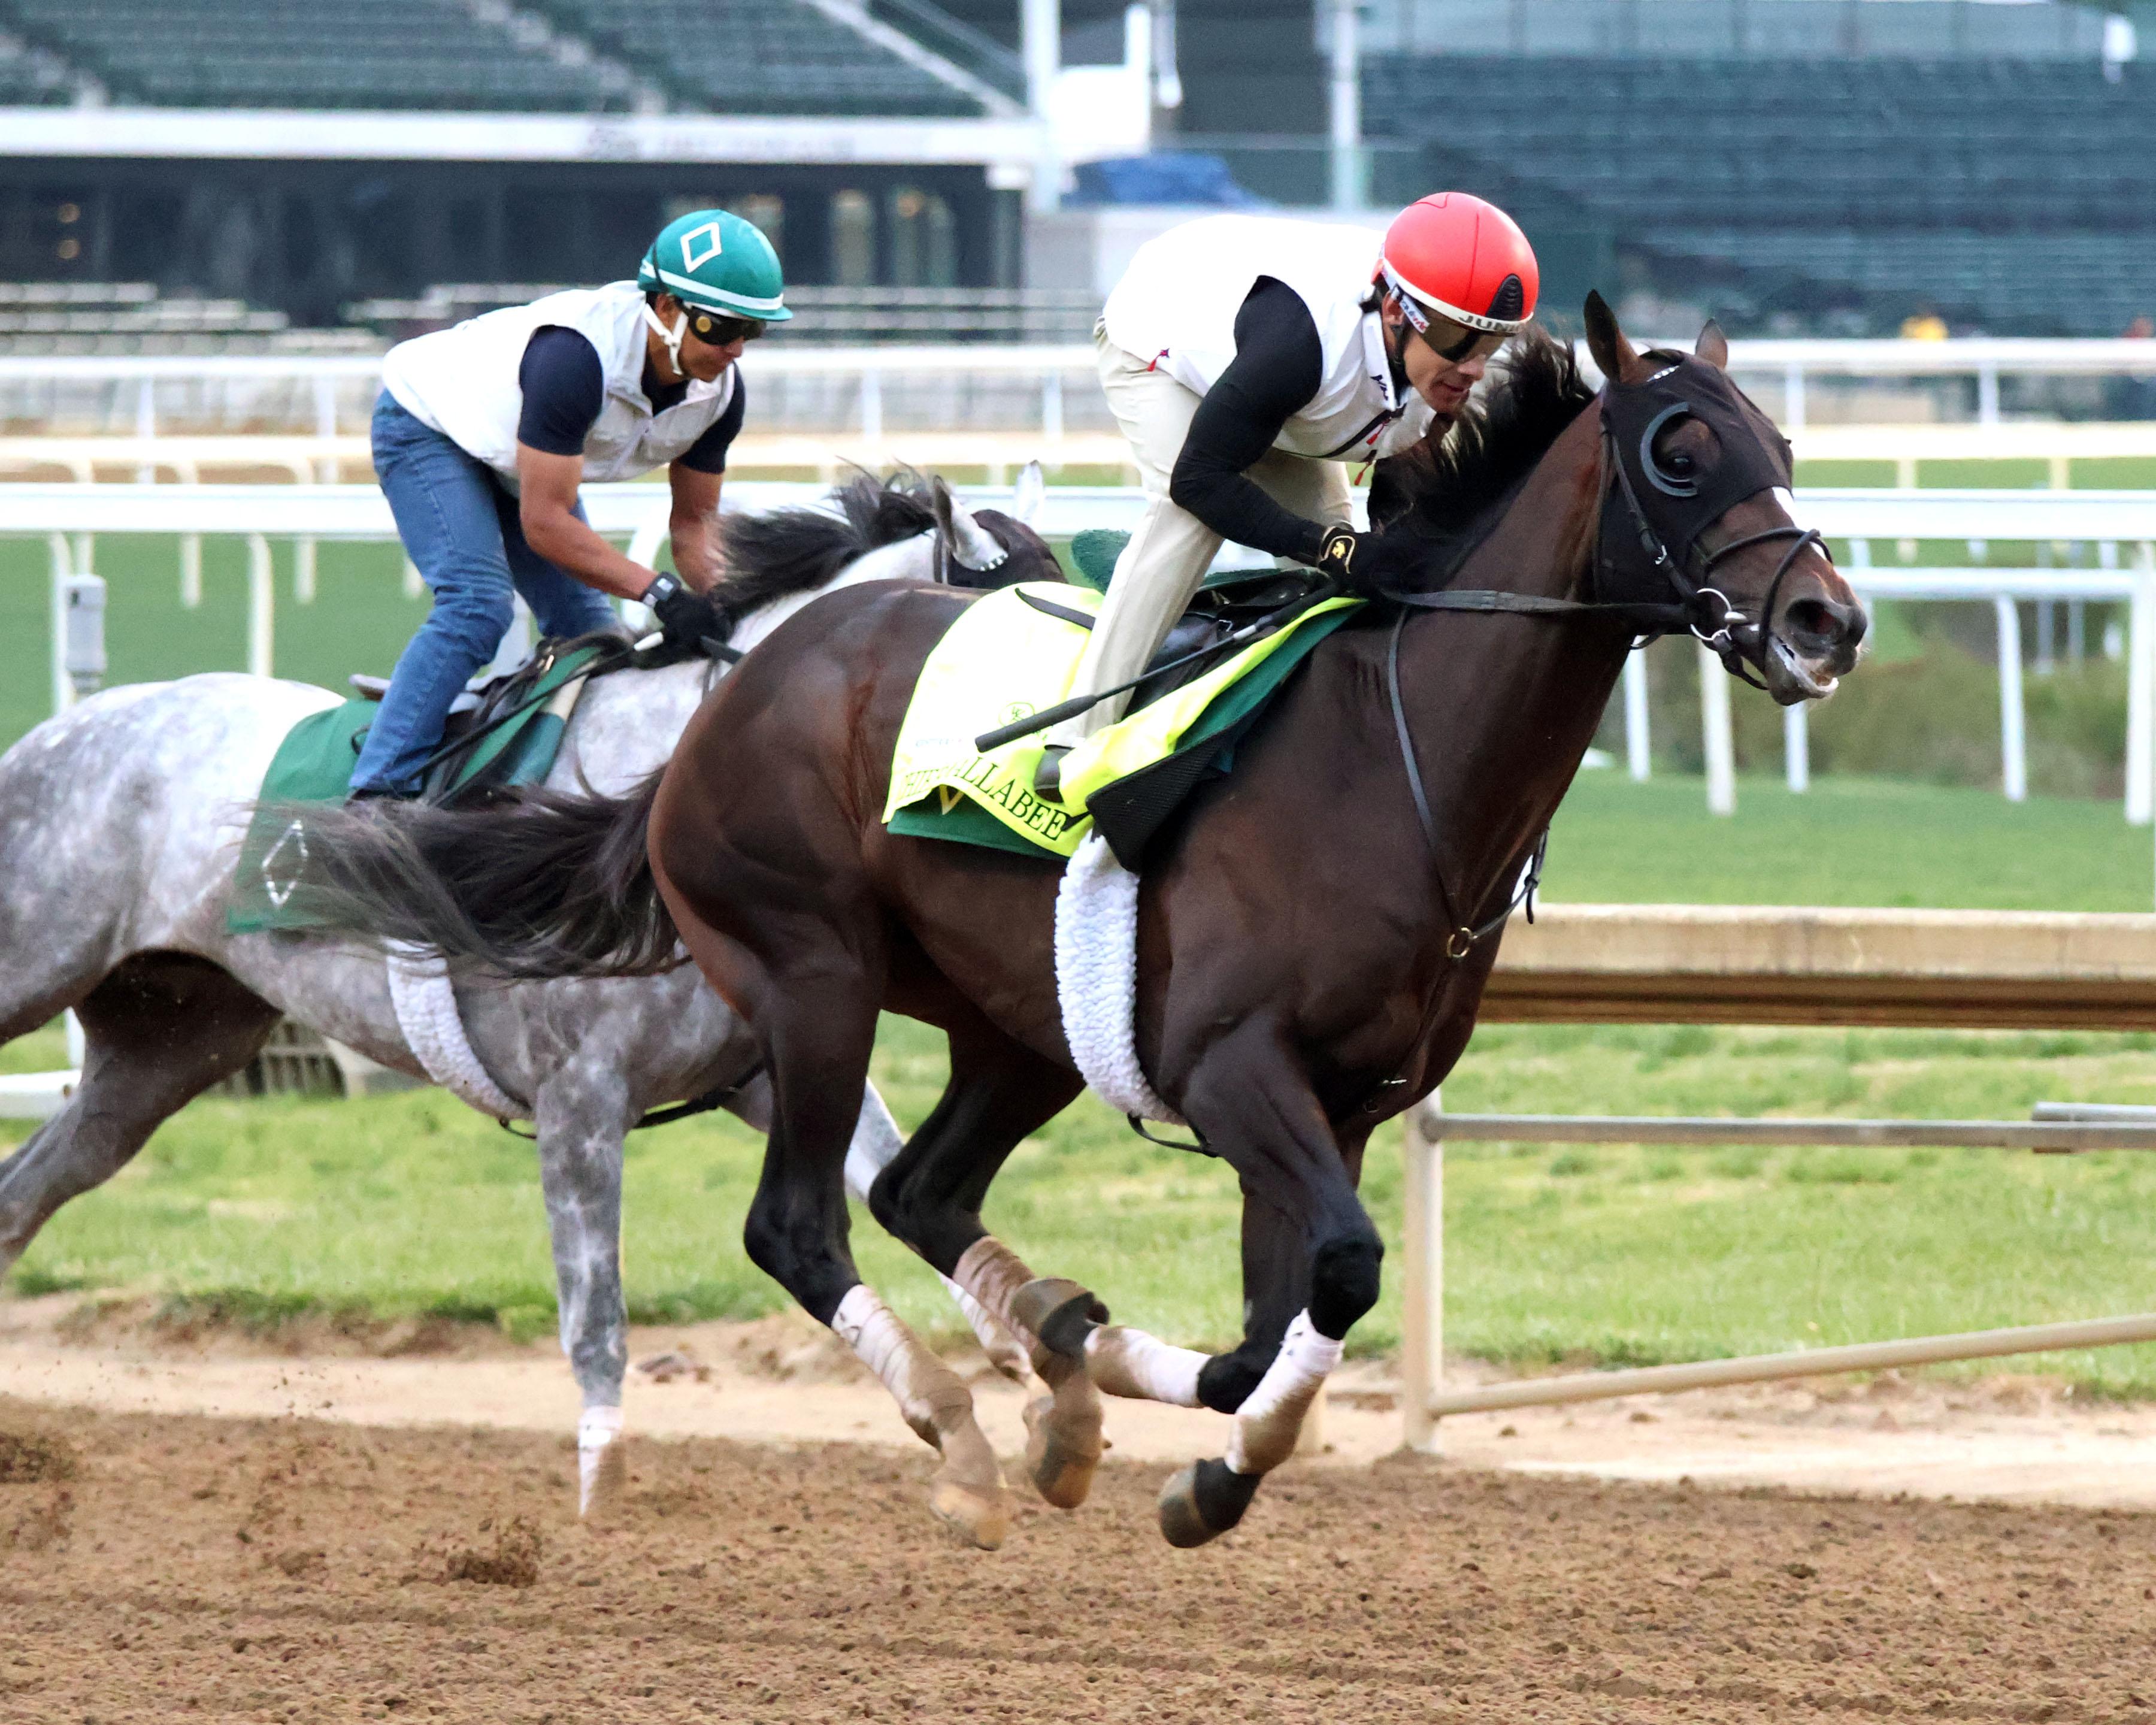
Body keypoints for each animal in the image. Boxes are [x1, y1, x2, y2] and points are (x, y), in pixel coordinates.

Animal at [0, 468, 1058, 1514]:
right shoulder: (578, 1099)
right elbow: (598, 1322)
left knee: (28, 1191)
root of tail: (58, 730)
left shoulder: (772, 1063)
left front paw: (1014, 1359)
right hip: (37, 968)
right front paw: (599, 1507)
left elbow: (876, 1180)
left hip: (169, 1045)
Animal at [279, 297, 1869, 1551]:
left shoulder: (1343, 1103)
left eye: (1786, 450)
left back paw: (1056, 1379)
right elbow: (1339, 1272)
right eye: (1680, 450)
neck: (1394, 764)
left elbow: (1283, 1312)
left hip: (1019, 1026)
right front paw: (1211, 1475)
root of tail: (723, 695)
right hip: (814, 980)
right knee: (801, 1223)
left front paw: (1173, 1426)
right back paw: (972, 1439)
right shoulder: (1232, 1069)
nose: (1827, 623)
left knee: (921, 1192)